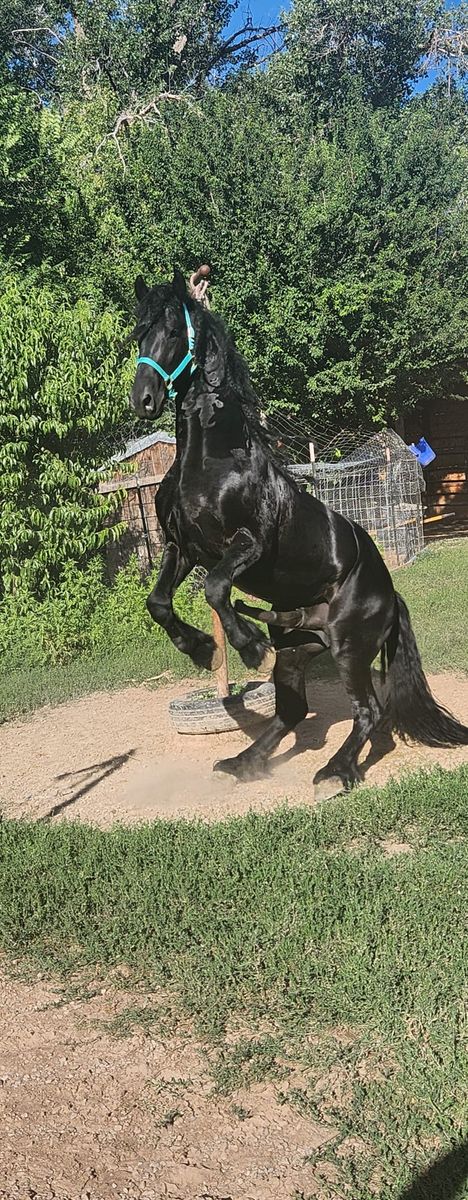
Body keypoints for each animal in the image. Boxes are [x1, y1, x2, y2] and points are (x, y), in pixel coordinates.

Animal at [129, 270, 468, 799]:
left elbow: (216, 588)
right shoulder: (182, 548)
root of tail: (390, 593)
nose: (143, 400)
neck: (213, 463)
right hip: (296, 650)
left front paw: (247, 645)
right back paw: (241, 763)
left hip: (349, 647)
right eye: (138, 333)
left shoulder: (247, 544)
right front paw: (202, 650)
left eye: (171, 330)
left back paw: (334, 773)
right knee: (292, 712)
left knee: (368, 712)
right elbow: (159, 602)